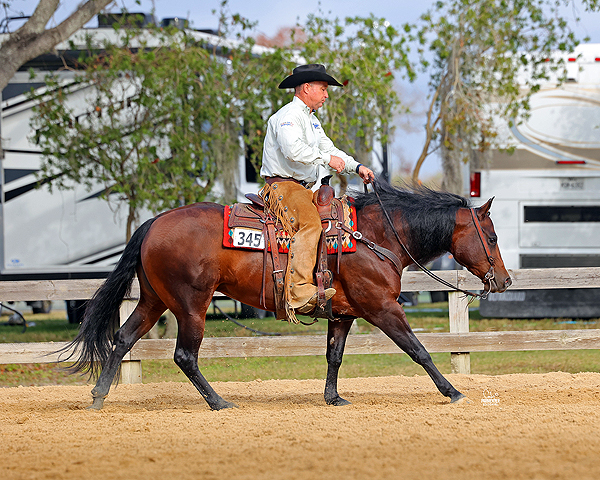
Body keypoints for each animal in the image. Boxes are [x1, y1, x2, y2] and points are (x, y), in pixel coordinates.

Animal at [59, 182, 510, 410]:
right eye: (491, 237)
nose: (504, 281)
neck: (375, 237)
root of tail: (154, 222)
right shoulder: (382, 308)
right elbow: (419, 350)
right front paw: (452, 392)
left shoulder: (343, 315)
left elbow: (334, 356)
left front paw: (333, 398)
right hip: (191, 305)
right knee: (185, 355)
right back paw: (219, 402)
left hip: (154, 300)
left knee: (122, 339)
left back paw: (98, 398)